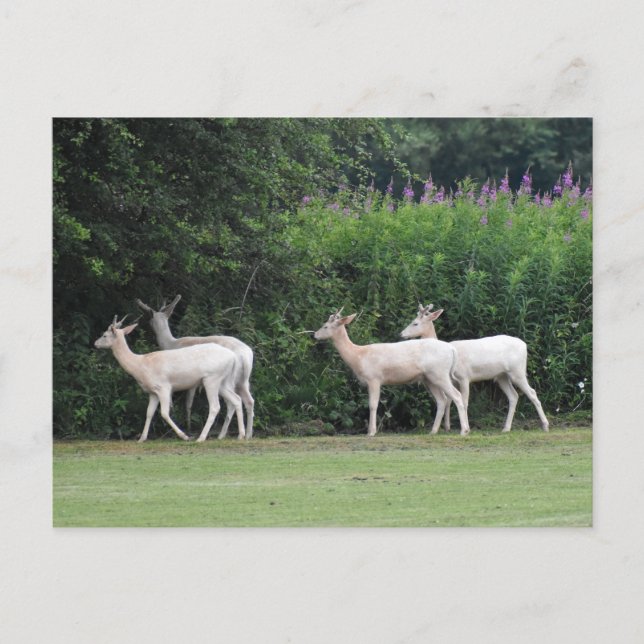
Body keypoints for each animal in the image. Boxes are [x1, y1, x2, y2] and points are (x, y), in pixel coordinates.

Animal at [94, 315, 245, 442]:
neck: (140, 366)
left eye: (104, 335)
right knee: (237, 399)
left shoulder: (164, 387)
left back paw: (201, 438)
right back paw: (241, 435)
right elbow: (149, 413)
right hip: (224, 381)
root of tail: (233, 357)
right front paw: (142, 438)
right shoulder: (152, 392)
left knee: (215, 406)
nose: (95, 343)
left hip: (212, 378)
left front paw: (184, 436)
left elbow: (164, 413)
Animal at [136, 295, 255, 439]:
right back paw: (247, 434)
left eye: (148, 320)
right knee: (249, 400)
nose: (143, 326)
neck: (171, 343)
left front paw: (188, 427)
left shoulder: (191, 381)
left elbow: (188, 403)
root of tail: (245, 355)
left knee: (231, 403)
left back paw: (224, 435)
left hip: (231, 379)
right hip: (243, 380)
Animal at [314, 309, 470, 436]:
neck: (358, 357)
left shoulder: (374, 378)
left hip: (440, 373)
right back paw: (433, 431)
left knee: (457, 395)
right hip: (429, 378)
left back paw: (464, 431)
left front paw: (371, 432)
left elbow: (373, 404)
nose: (314, 335)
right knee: (442, 400)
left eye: (325, 326)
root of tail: (452, 350)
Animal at [400, 303, 549, 433]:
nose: (401, 334)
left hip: (517, 371)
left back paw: (545, 425)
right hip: (502, 375)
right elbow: (449, 401)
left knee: (532, 393)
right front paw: (447, 427)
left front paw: (466, 429)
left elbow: (464, 401)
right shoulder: (452, 379)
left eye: (415, 323)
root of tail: (524, 345)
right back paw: (506, 428)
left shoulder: (464, 376)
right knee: (513, 396)